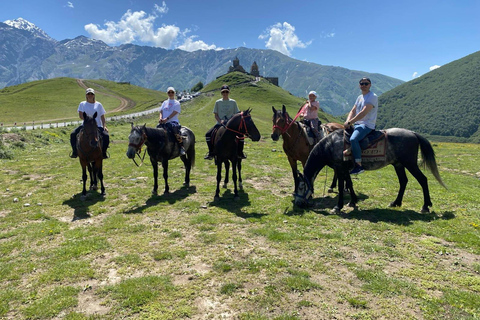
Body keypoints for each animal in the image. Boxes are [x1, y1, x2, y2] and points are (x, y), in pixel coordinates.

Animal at [294, 127, 448, 212]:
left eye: (301, 186)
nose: (298, 204)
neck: (330, 145)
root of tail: (413, 133)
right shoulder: (346, 169)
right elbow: (350, 184)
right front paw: (353, 201)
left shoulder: (340, 168)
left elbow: (342, 186)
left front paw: (338, 206)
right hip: (398, 164)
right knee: (403, 181)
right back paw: (396, 202)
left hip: (410, 164)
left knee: (423, 179)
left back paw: (425, 206)